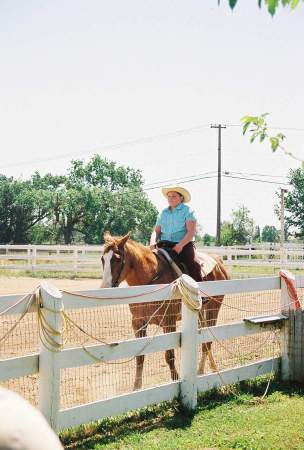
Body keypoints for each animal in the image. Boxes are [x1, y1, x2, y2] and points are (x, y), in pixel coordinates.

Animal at [101, 232, 229, 390]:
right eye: (102, 259)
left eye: (117, 259)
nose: (104, 288)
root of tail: (218, 262)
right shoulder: (138, 323)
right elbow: (140, 356)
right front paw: (136, 387)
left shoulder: (169, 322)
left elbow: (169, 356)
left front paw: (176, 380)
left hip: (213, 308)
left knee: (208, 341)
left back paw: (203, 371)